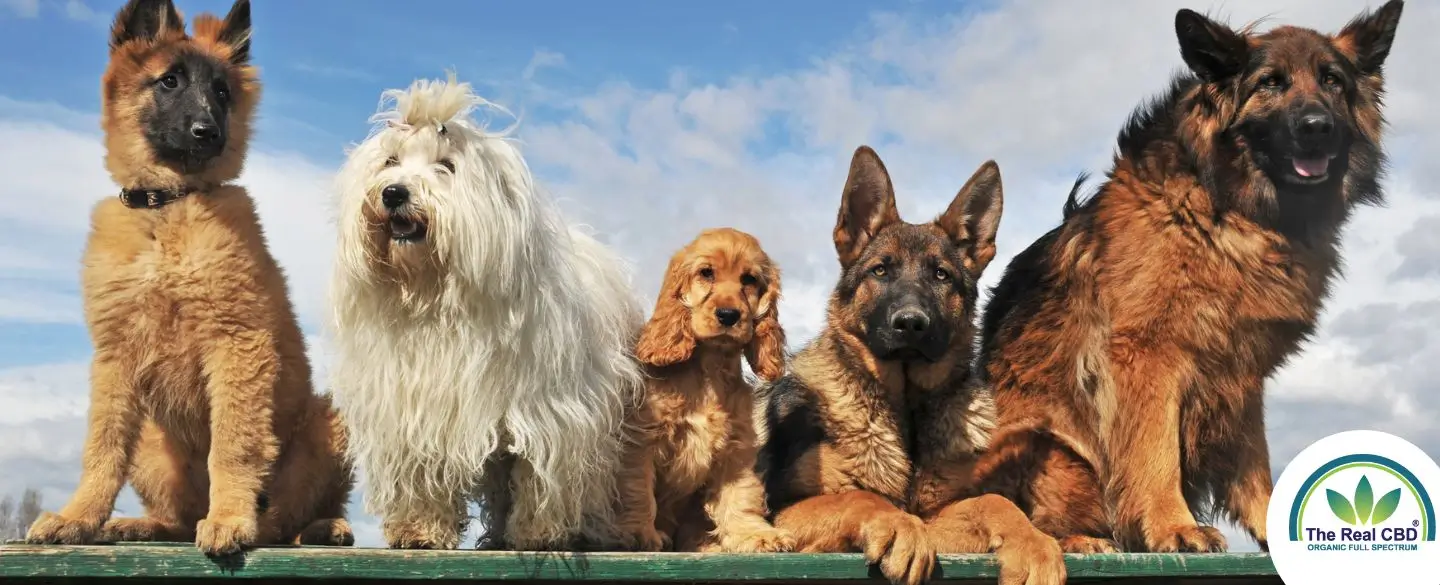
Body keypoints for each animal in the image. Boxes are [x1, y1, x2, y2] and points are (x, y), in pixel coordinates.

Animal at [23, 0, 352, 556]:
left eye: (222, 92)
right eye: (169, 81)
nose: (208, 133)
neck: (167, 208)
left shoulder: (238, 344)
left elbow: (233, 444)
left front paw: (231, 519)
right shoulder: (115, 358)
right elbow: (102, 447)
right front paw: (77, 517)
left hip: (326, 426)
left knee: (286, 519)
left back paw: (315, 527)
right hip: (152, 443)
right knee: (179, 518)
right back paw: (142, 524)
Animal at [329, 75, 645, 550]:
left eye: (446, 166)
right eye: (390, 161)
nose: (394, 192)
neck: (435, 295)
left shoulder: (549, 413)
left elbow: (537, 473)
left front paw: (536, 533)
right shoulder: (413, 409)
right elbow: (421, 471)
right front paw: (419, 529)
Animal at [613, 227, 800, 553]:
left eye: (749, 279)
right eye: (706, 272)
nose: (728, 315)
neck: (710, 369)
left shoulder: (736, 447)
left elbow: (740, 496)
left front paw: (755, 535)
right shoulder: (642, 439)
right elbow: (638, 488)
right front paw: (639, 533)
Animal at [760, 147, 1065, 585]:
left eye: (941, 275)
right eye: (880, 270)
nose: (910, 323)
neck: (904, 413)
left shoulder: (939, 519)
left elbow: (993, 500)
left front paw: (1035, 543)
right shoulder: (783, 514)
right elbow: (861, 495)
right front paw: (900, 526)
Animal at [973, 2, 1399, 556]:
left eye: (1332, 81)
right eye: (1271, 82)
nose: (1317, 127)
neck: (1228, 211)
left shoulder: (1240, 371)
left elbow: (1253, 460)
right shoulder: (1149, 353)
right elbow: (1155, 453)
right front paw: (1173, 526)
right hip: (1043, 446)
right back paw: (1081, 540)